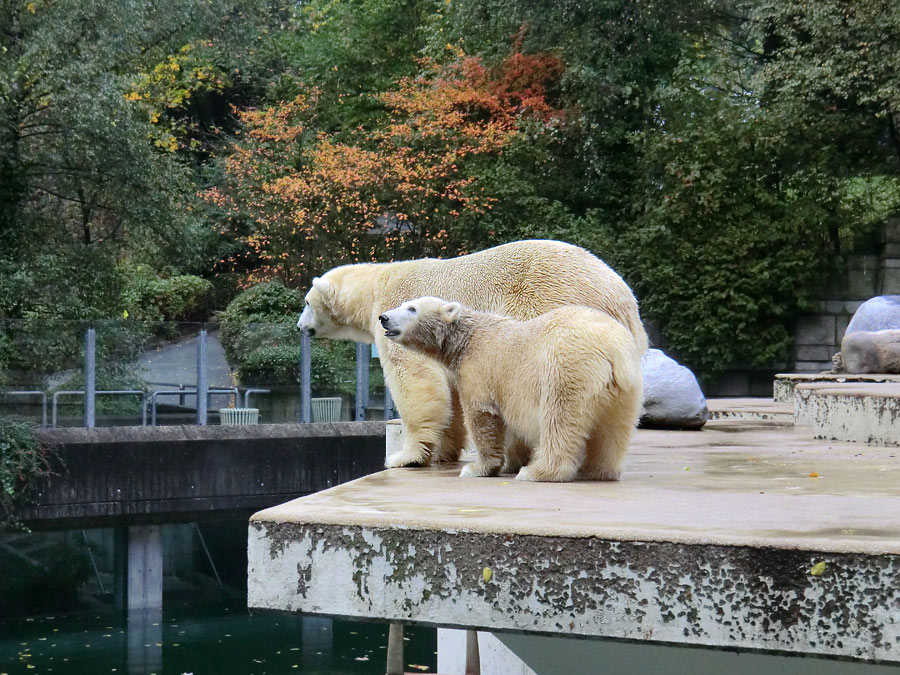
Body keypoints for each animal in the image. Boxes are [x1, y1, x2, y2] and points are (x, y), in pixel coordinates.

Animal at [298, 239, 648, 470]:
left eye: (306, 302)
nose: (301, 327)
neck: (375, 285)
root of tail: (623, 299)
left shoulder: (400, 317)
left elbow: (415, 381)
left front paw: (404, 456)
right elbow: (449, 394)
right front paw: (443, 452)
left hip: (549, 303)